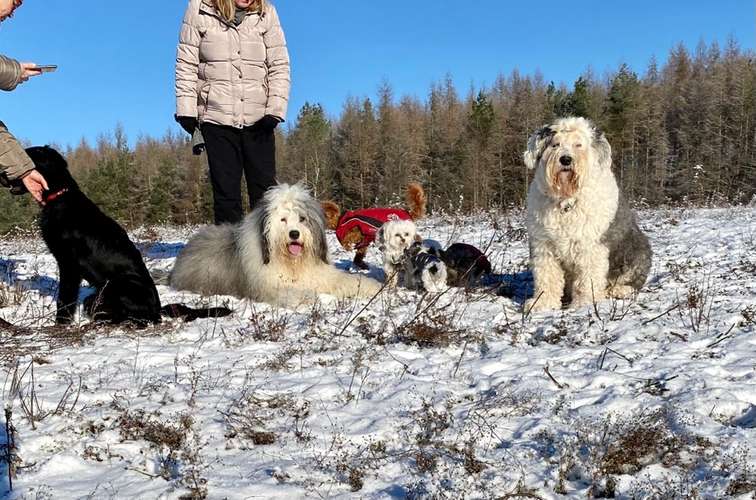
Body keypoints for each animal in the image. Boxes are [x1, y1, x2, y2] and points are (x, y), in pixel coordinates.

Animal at [172, 184, 384, 306]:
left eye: (302, 218)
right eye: (283, 219)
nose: (294, 234)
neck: (292, 263)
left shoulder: (322, 274)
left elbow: (347, 280)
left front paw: (372, 286)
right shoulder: (267, 286)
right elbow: (288, 292)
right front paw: (307, 298)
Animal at [524, 118, 652, 312]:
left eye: (578, 145)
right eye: (555, 144)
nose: (565, 159)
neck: (566, 202)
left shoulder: (590, 246)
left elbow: (587, 279)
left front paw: (584, 304)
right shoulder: (544, 245)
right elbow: (547, 277)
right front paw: (541, 303)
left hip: (637, 252)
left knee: (631, 280)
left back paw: (619, 290)